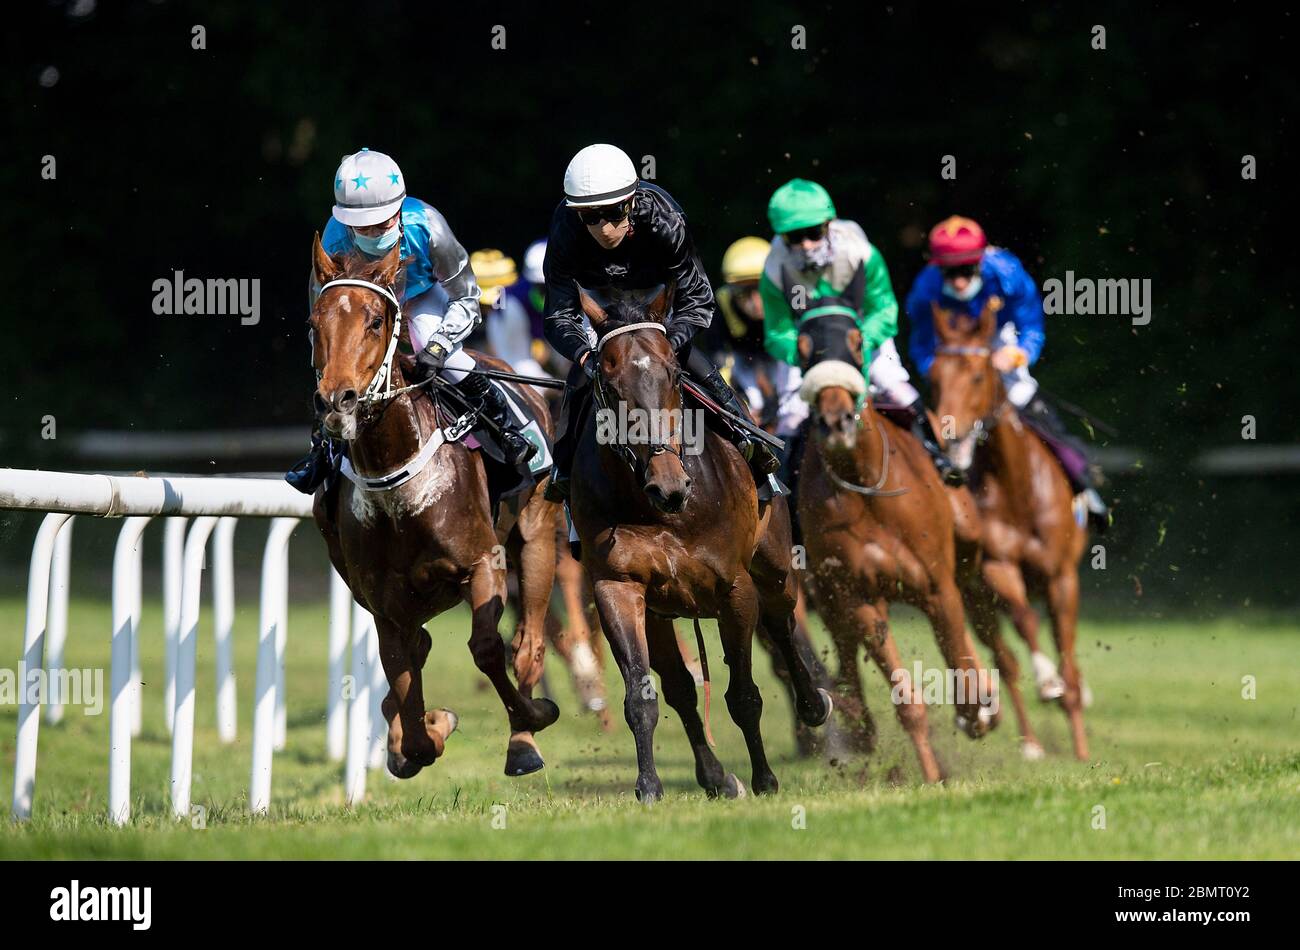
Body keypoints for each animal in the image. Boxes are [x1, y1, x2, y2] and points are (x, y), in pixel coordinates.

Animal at [310, 236, 564, 779]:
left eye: (374, 321)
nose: (337, 401)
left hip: (535, 534)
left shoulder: (483, 563)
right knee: (421, 650)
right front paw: (427, 729)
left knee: (528, 644)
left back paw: (524, 740)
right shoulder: (383, 602)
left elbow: (487, 649)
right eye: (315, 321)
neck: (399, 488)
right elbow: (403, 680)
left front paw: (532, 717)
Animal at [569, 284, 832, 800]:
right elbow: (642, 694)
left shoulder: (735, 588)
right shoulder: (618, 586)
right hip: (661, 610)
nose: (668, 485)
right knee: (680, 687)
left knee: (782, 622)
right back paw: (715, 777)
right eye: (609, 381)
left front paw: (765, 778)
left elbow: (744, 695)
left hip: (774, 564)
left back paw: (814, 704)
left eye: (673, 372)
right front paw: (649, 786)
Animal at [790, 308, 993, 784]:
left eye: (856, 340)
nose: (836, 421)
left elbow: (959, 656)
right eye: (803, 348)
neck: (865, 484)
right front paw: (933, 775)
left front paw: (976, 708)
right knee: (845, 647)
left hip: (966, 539)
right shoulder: (858, 596)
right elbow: (906, 698)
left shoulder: (937, 586)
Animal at [930, 301, 1092, 764]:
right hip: (973, 599)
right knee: (1005, 659)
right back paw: (1032, 743)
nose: (947, 436)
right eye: (933, 377)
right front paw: (1047, 681)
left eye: (977, 375)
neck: (1018, 491)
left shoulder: (1062, 577)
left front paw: (1081, 747)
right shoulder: (996, 569)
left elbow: (1067, 655)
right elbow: (1023, 621)